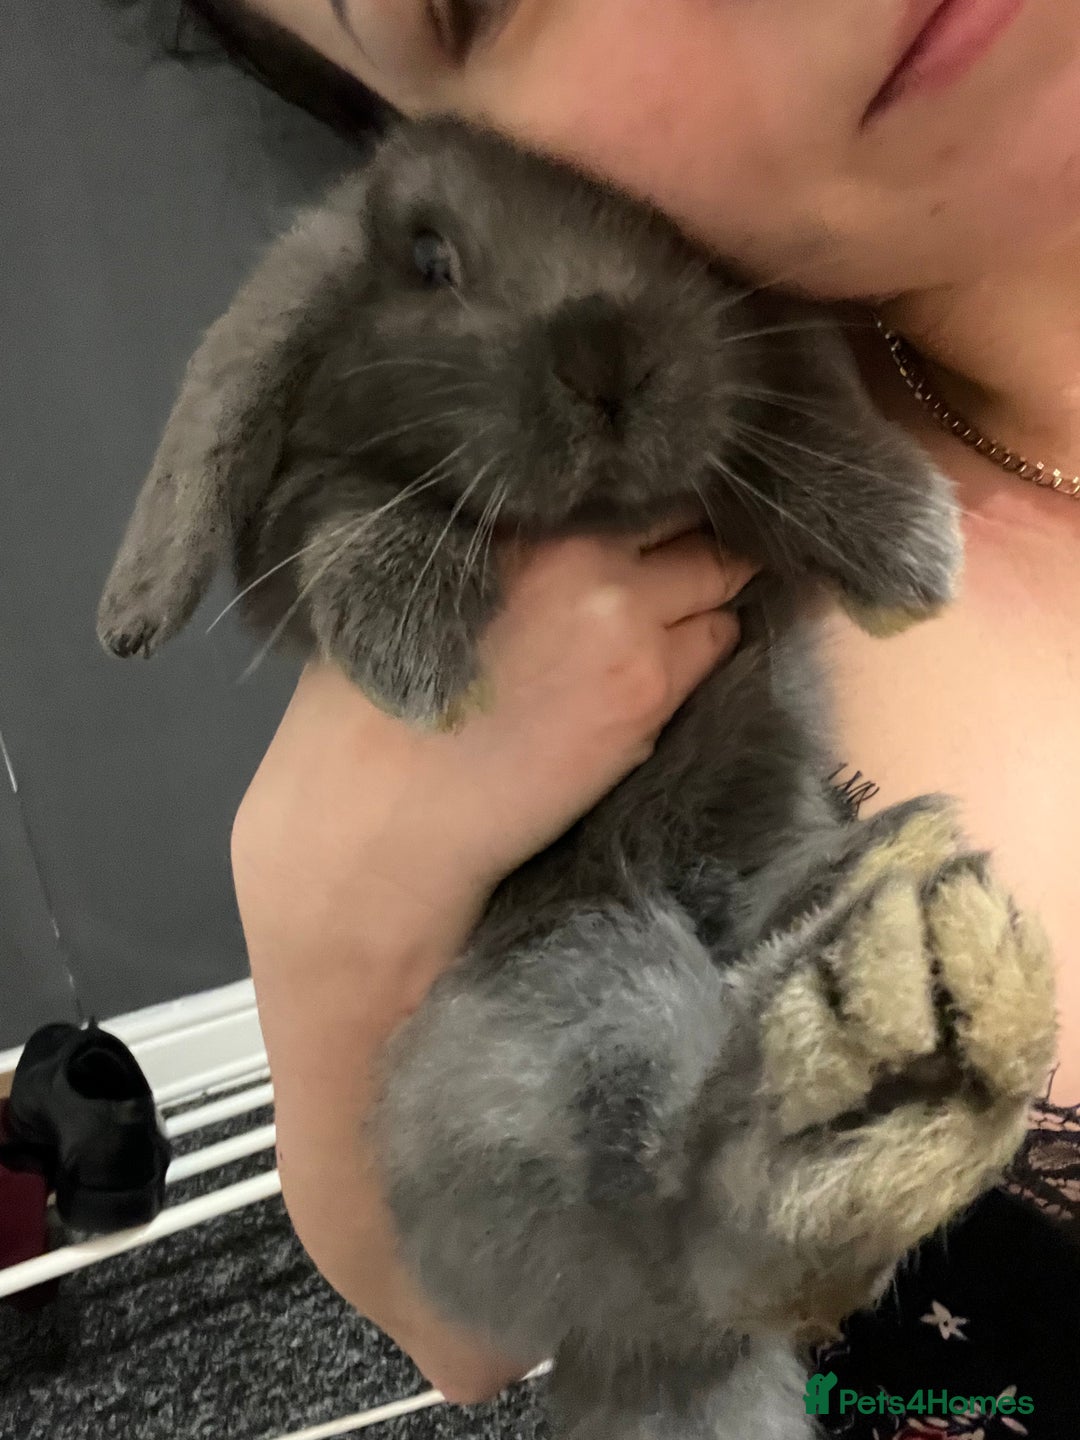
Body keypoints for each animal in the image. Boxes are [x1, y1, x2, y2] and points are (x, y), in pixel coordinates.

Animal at [97, 119, 1056, 1440]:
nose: (607, 359)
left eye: (677, 234)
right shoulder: (300, 519)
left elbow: (795, 424)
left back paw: (893, 901)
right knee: (685, 1225)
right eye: (428, 258)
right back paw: (874, 1088)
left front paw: (907, 549)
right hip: (579, 984)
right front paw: (419, 654)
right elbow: (347, 507)